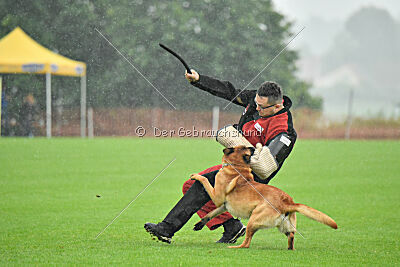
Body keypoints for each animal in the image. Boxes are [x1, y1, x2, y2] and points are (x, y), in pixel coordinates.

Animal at [191, 146, 338, 250]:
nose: (252, 147)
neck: (237, 167)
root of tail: (287, 202)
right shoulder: (223, 205)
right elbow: (211, 214)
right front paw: (200, 224)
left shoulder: (217, 198)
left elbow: (205, 180)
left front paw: (196, 176)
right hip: (284, 226)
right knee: (291, 236)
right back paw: (289, 248)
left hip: (253, 220)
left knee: (247, 243)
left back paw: (235, 247)